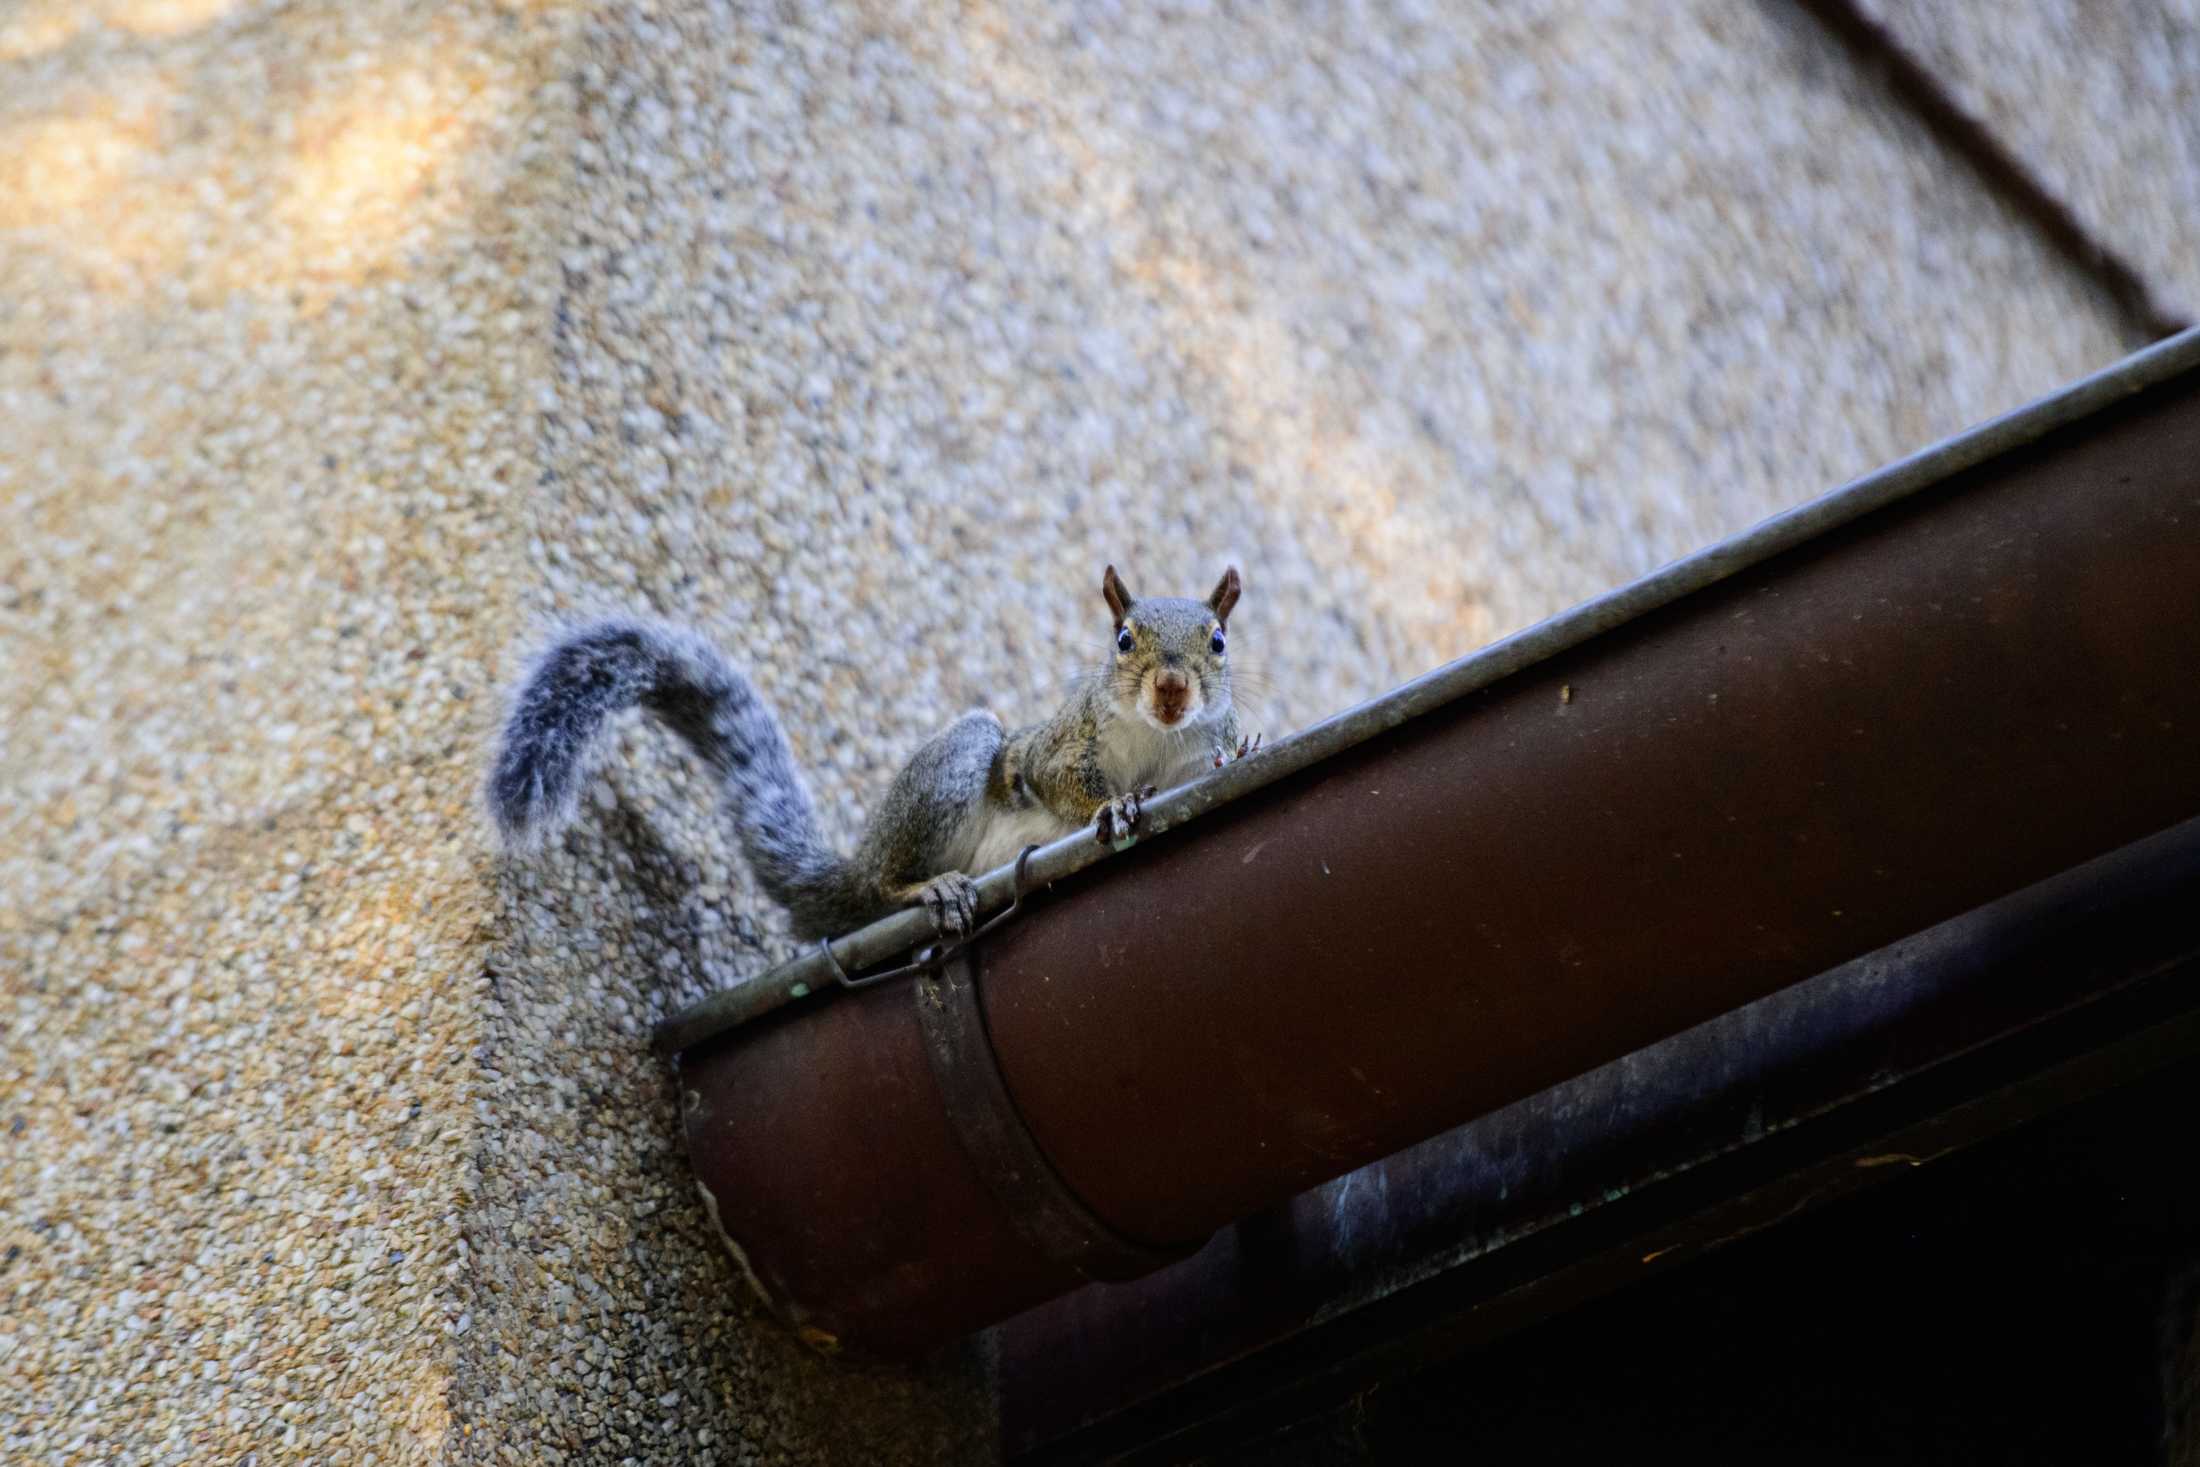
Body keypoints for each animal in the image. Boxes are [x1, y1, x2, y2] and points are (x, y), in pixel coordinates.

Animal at [492, 563, 1258, 941]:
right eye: (1123, 639)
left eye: (1219, 641)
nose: (1171, 689)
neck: (1155, 737)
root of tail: (856, 870)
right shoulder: (1060, 743)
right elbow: (1057, 779)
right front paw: (1112, 807)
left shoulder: (1190, 753)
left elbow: (1208, 763)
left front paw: (1240, 753)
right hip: (950, 776)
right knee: (892, 884)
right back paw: (926, 887)